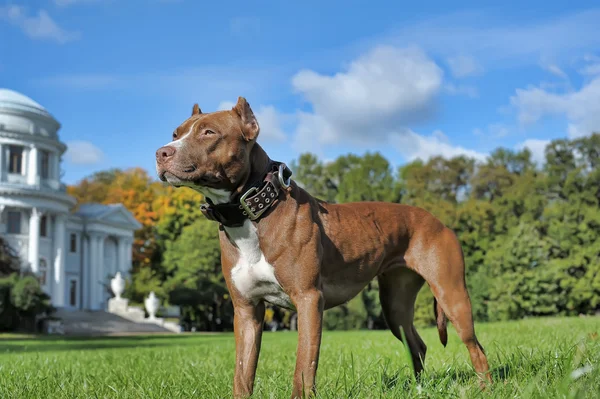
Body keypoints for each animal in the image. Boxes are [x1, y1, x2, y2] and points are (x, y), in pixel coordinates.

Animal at [156, 97, 492, 399]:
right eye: (175, 133)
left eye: (208, 132)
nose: (161, 152)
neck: (252, 213)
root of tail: (437, 219)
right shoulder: (247, 311)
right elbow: (243, 374)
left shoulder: (308, 300)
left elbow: (304, 367)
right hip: (395, 305)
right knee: (417, 344)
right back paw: (421, 390)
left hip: (451, 295)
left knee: (476, 347)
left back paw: (484, 388)